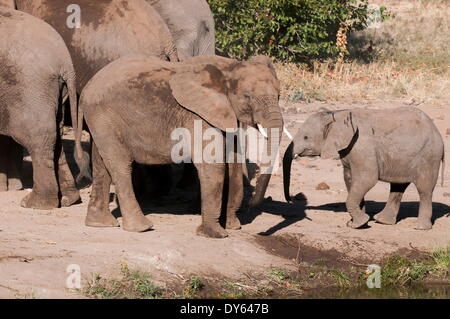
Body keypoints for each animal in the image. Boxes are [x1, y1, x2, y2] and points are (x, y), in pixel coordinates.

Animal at [284, 107, 444, 230]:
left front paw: (358, 224)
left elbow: (367, 179)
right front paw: (359, 223)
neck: (337, 114)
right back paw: (382, 221)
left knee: (424, 190)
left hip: (429, 156)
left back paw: (420, 227)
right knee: (398, 186)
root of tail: (438, 133)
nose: (291, 198)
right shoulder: (348, 150)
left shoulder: (362, 146)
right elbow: (349, 179)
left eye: (306, 137)